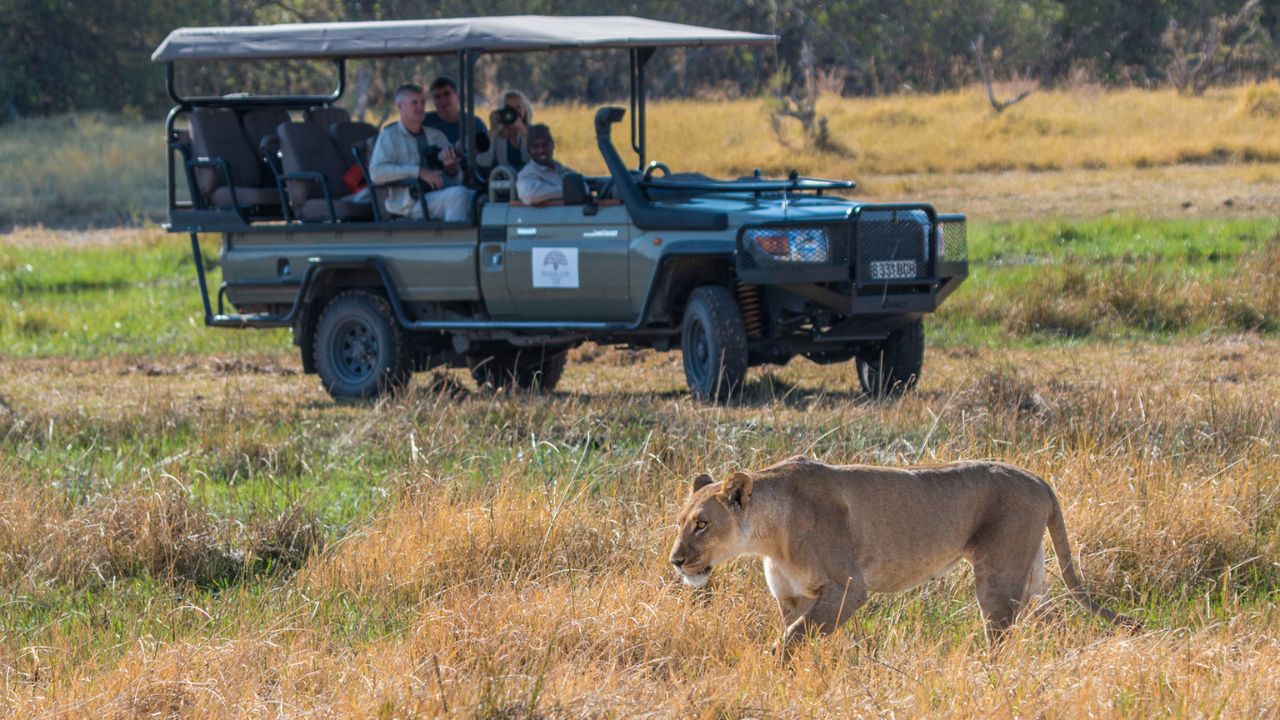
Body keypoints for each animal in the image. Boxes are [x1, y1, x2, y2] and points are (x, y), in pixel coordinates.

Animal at [668, 456, 1138, 652]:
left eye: (702, 524)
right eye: (680, 521)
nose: (675, 561)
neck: (768, 536)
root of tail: (1038, 477)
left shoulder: (848, 587)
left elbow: (795, 637)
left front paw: (771, 667)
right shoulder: (793, 597)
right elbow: (800, 634)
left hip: (998, 575)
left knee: (1001, 632)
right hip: (1031, 574)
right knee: (1051, 618)